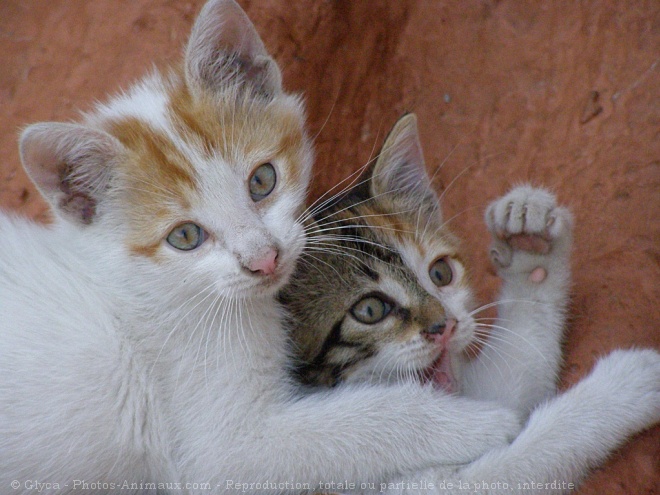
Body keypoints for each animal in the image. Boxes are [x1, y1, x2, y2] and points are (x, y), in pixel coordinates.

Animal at [0, 1, 532, 494]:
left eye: (262, 181)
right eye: (185, 237)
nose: (264, 258)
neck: (141, 287)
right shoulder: (220, 452)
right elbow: (356, 423)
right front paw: (482, 420)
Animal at [280, 114, 660, 494]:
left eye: (441, 273)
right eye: (370, 310)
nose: (445, 326)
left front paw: (530, 246)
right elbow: (519, 460)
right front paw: (620, 387)